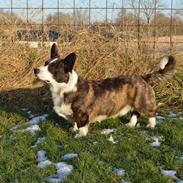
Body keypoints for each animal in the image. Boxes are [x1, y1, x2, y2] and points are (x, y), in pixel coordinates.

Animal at [34, 43, 176, 137]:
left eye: (52, 68)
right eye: (45, 63)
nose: (35, 69)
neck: (64, 88)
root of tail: (143, 77)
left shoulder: (82, 114)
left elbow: (81, 125)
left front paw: (79, 135)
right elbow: (75, 122)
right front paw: (73, 129)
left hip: (143, 102)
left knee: (151, 113)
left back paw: (151, 126)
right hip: (135, 102)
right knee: (135, 113)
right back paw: (130, 125)